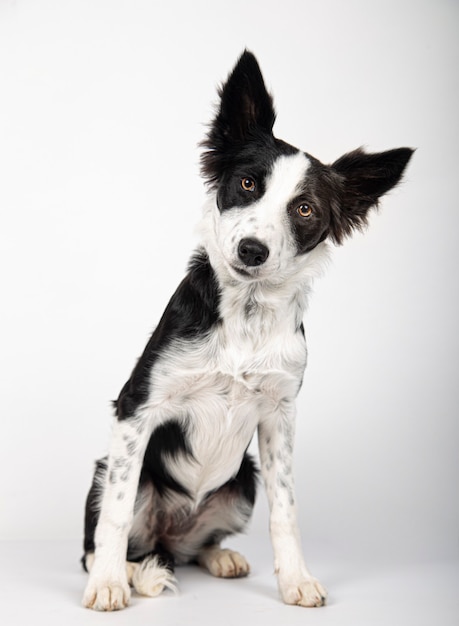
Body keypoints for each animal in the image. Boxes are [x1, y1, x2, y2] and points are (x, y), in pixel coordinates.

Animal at [81, 51, 416, 608]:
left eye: (304, 209)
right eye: (247, 185)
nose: (252, 250)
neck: (248, 315)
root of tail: (171, 536)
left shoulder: (280, 419)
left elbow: (287, 511)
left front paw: (296, 579)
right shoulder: (136, 408)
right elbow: (117, 513)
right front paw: (108, 582)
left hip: (243, 481)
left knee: (197, 547)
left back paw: (219, 556)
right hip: (106, 468)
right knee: (112, 535)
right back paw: (129, 571)